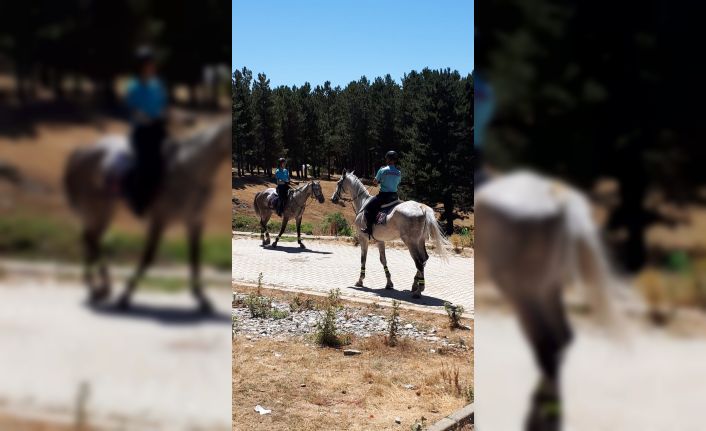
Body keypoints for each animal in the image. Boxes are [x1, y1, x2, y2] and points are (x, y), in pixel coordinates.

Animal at [63, 120, 228, 312]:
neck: (189, 169)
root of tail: (81, 153)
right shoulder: (159, 220)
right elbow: (148, 257)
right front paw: (125, 296)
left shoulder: (194, 221)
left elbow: (195, 258)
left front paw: (202, 299)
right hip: (97, 207)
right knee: (91, 239)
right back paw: (101, 289)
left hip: (103, 209)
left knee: (91, 238)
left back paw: (97, 289)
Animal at [328, 170, 446, 298]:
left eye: (338, 183)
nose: (333, 198)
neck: (363, 202)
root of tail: (421, 207)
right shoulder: (380, 240)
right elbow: (383, 260)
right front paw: (389, 283)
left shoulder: (363, 238)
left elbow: (363, 259)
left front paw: (360, 280)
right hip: (420, 241)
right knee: (424, 259)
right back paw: (415, 284)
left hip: (411, 242)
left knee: (419, 263)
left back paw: (419, 290)